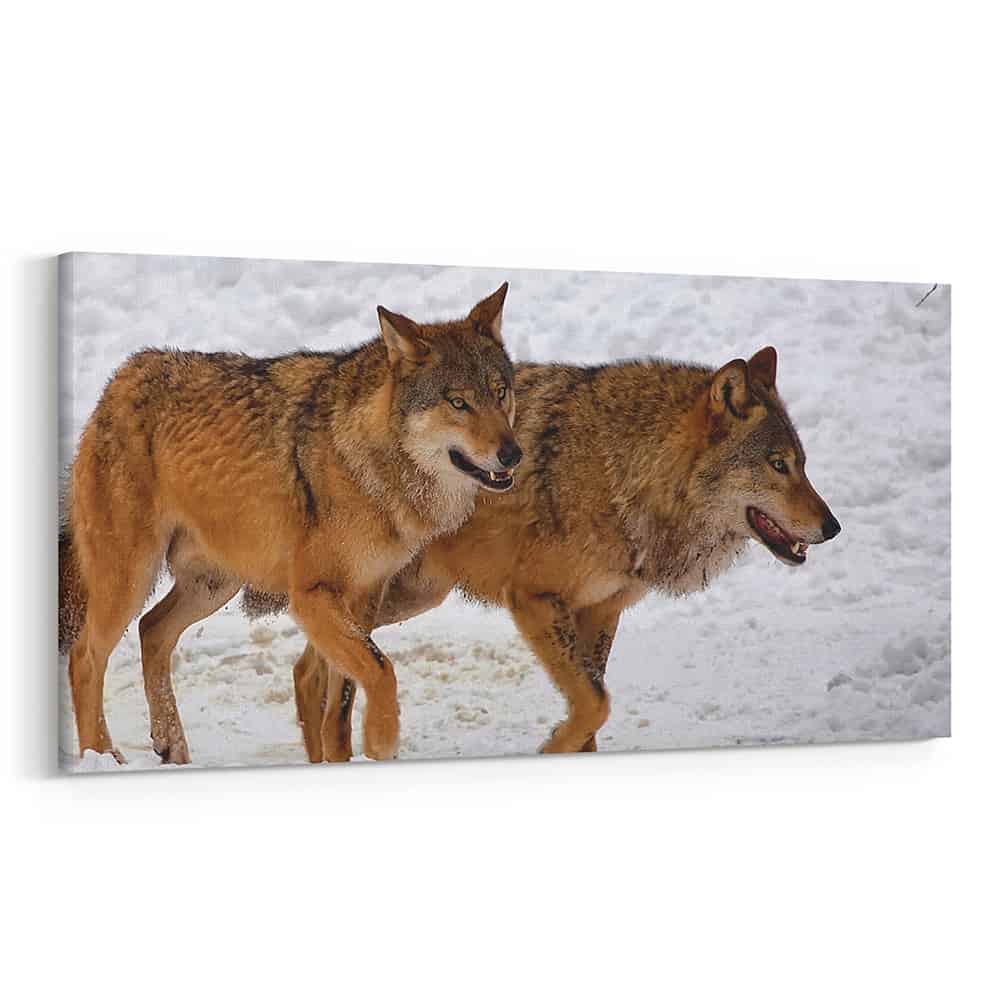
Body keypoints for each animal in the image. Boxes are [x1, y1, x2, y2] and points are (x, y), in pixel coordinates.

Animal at [59, 283, 522, 765]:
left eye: (500, 392)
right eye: (458, 402)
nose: (513, 454)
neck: (373, 462)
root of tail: (122, 377)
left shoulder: (364, 596)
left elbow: (343, 699)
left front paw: (342, 757)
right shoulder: (311, 595)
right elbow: (380, 669)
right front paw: (381, 740)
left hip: (213, 585)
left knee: (151, 630)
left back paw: (172, 745)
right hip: (131, 578)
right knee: (84, 655)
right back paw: (100, 753)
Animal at [284, 346, 840, 759]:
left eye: (802, 463)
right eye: (777, 464)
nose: (833, 528)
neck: (625, 473)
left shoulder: (601, 610)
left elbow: (594, 707)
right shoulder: (533, 600)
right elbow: (594, 705)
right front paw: (551, 748)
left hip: (403, 597)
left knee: (308, 669)